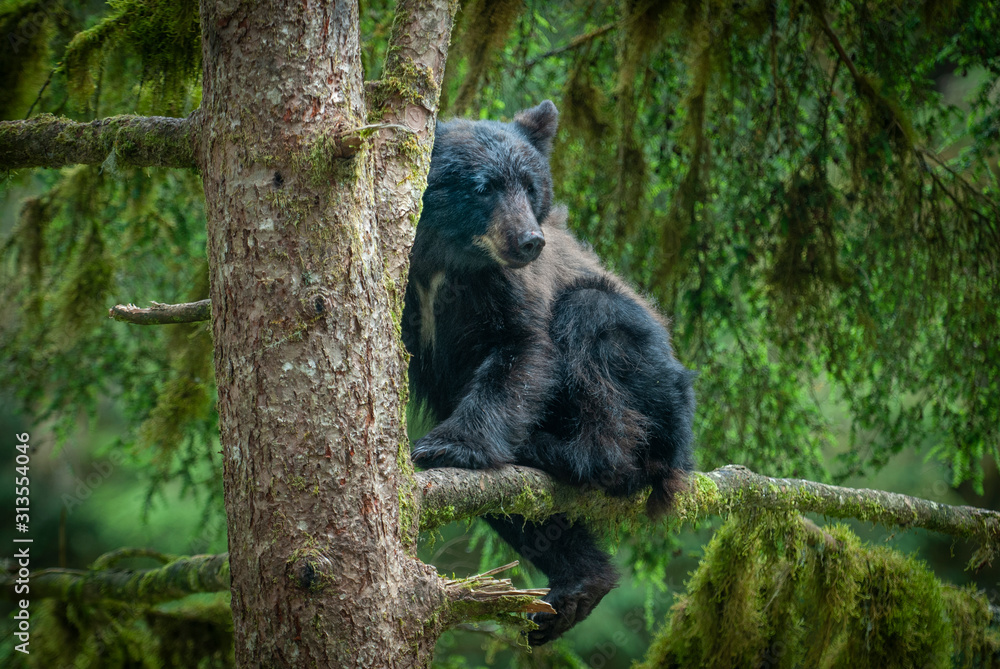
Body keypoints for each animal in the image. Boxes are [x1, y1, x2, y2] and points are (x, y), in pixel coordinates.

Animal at [402, 100, 696, 645]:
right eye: (483, 186)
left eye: (530, 185)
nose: (528, 241)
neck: (446, 260)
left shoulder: (512, 288)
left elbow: (522, 353)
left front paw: (449, 444)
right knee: (527, 514)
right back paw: (577, 586)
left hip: (651, 381)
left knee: (592, 330)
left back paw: (555, 450)